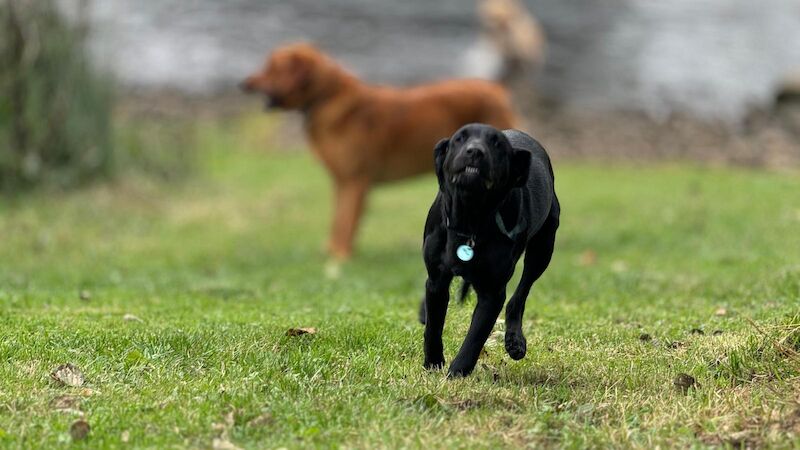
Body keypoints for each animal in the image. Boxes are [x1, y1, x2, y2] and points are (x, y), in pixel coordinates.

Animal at [244, 44, 516, 260]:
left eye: (272, 68)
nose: (244, 83)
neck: (326, 97)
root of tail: (496, 89)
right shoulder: (343, 184)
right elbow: (339, 221)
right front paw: (333, 251)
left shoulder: (355, 182)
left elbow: (346, 222)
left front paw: (340, 258)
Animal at [422, 122, 560, 376]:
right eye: (460, 138)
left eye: (497, 145)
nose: (475, 151)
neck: (471, 220)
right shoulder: (436, 281)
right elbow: (434, 327)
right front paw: (433, 364)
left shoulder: (492, 292)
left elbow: (475, 338)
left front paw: (457, 373)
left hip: (542, 250)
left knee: (519, 296)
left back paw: (515, 341)